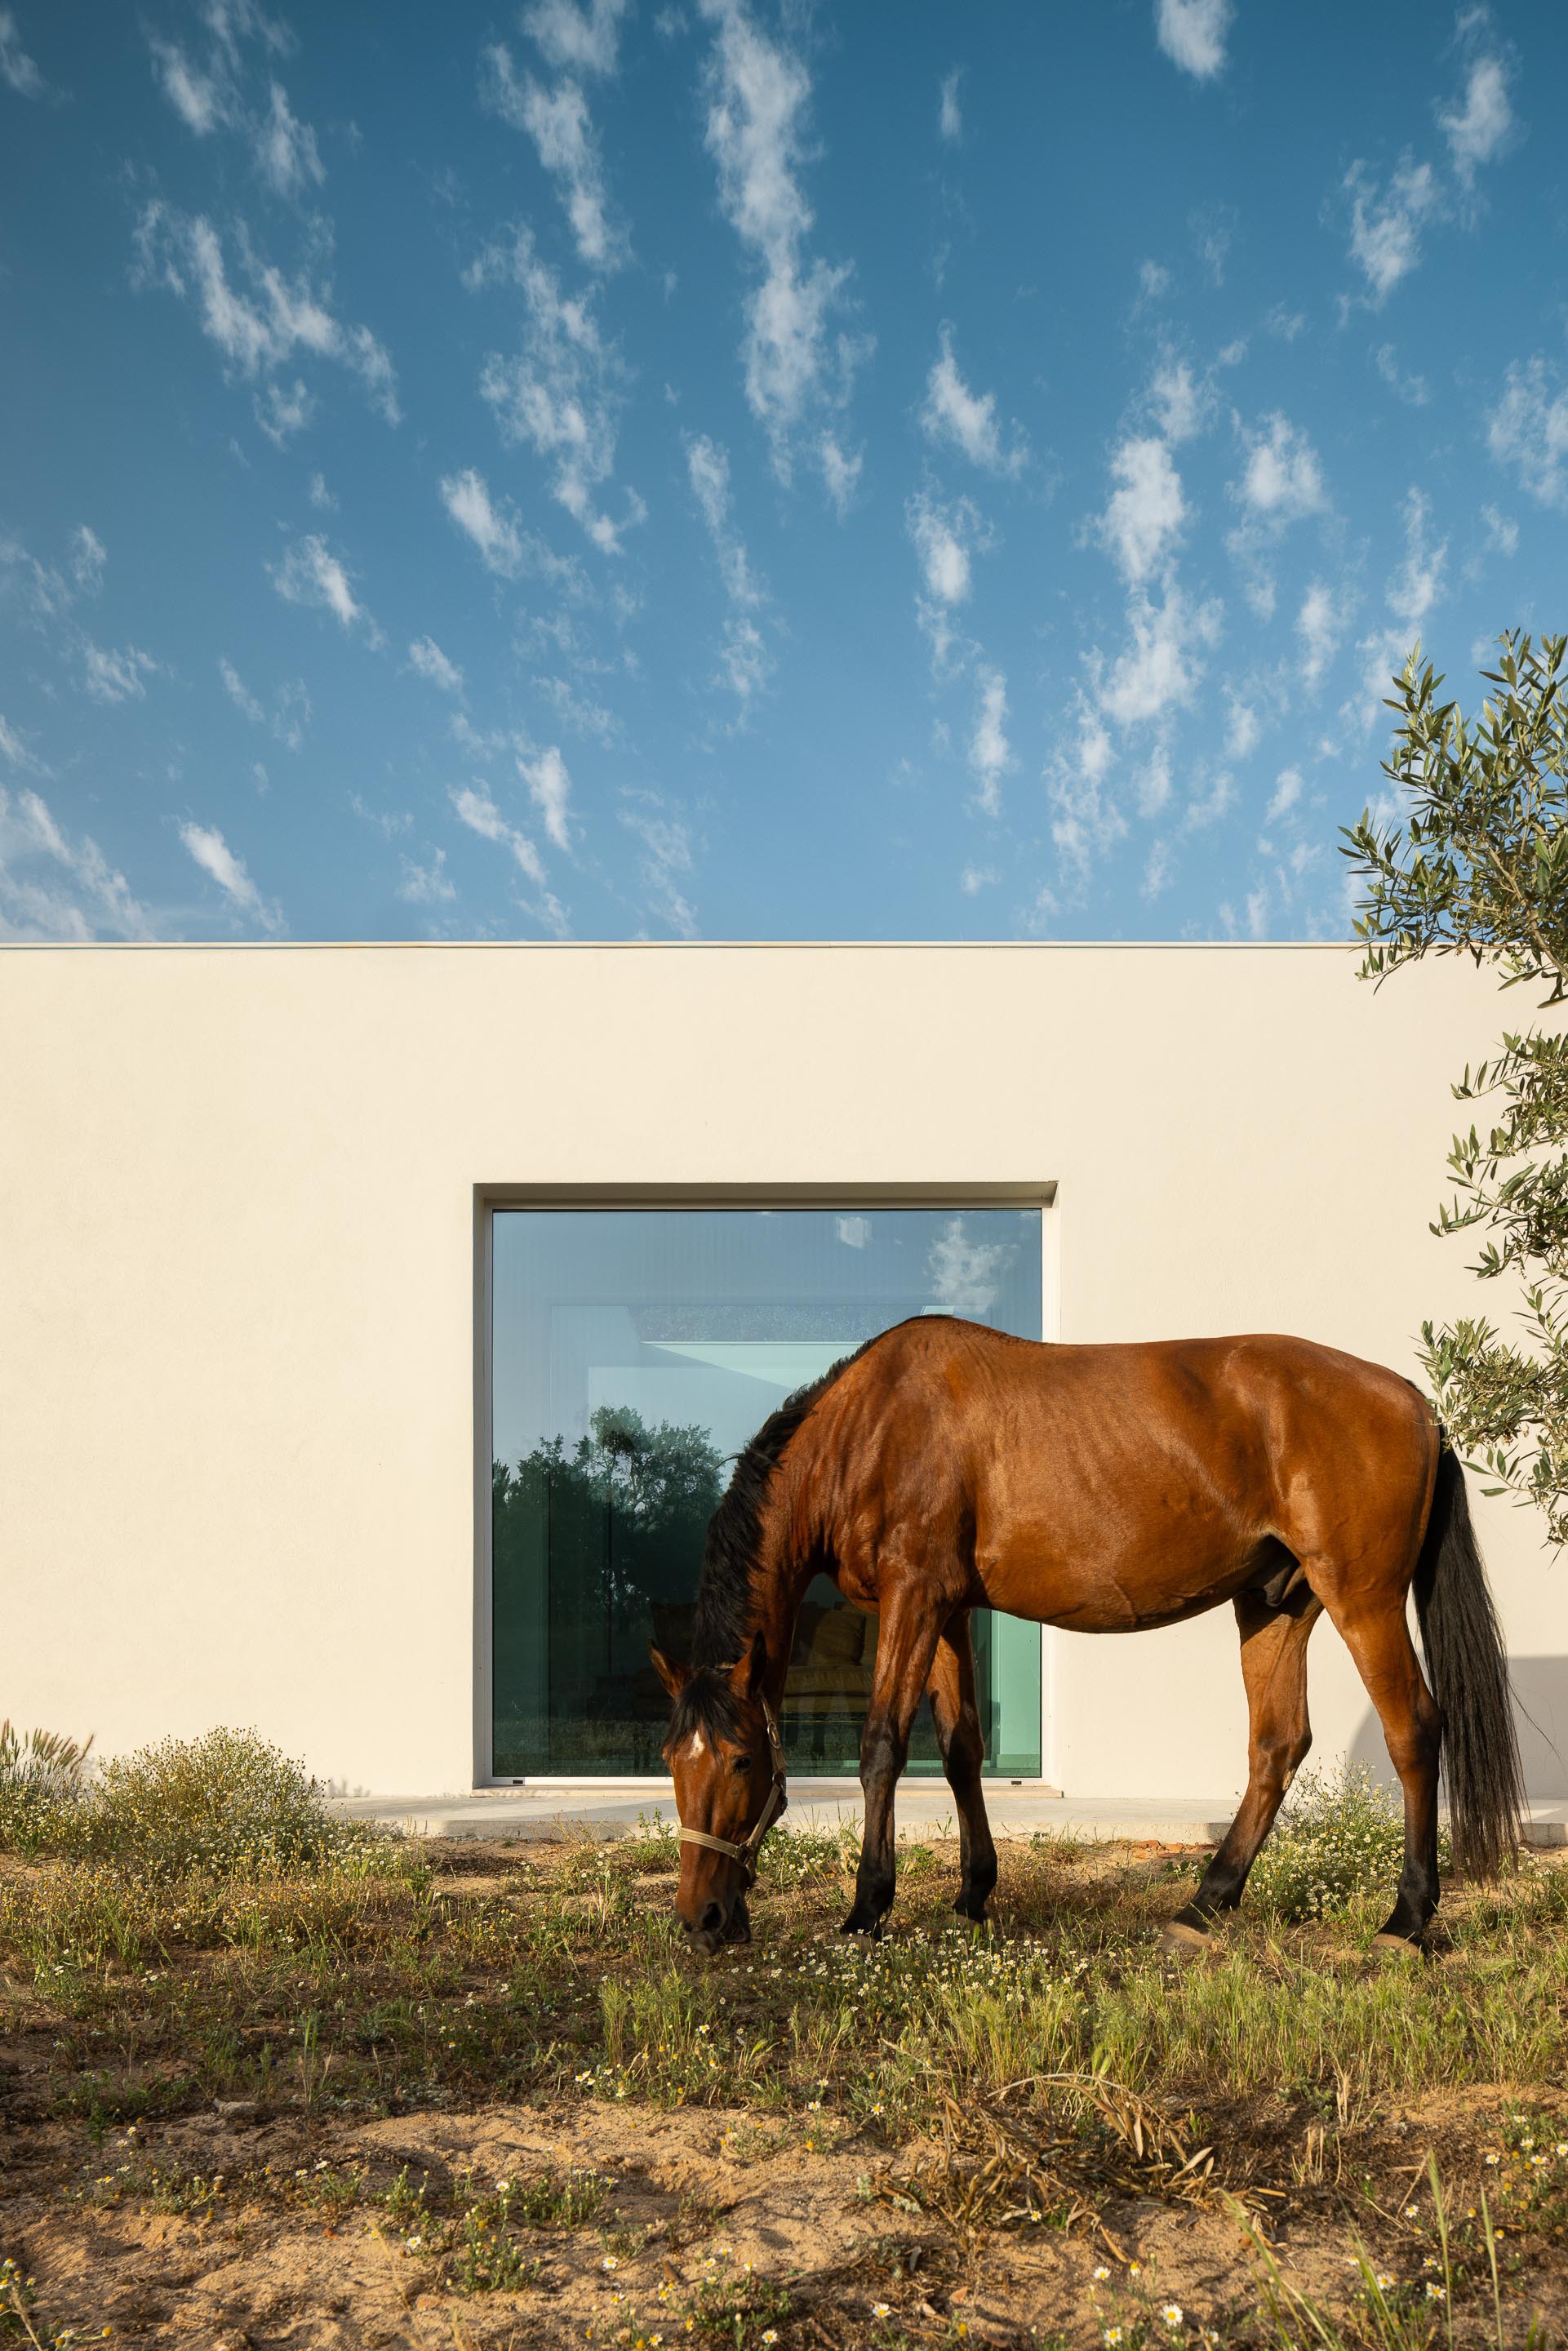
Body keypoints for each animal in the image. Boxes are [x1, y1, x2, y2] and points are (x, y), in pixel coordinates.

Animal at [650, 1315, 1523, 1958]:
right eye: (670, 1759)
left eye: (740, 1760)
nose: (701, 1919)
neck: (870, 1428)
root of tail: (1412, 1400)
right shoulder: (947, 1610)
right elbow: (960, 1749)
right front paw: (972, 1895)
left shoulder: (914, 1597)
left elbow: (883, 1749)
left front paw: (867, 1910)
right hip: (1276, 1604)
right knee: (1276, 1745)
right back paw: (1203, 1906)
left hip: (1361, 1598)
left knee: (1414, 1730)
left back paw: (1406, 1919)